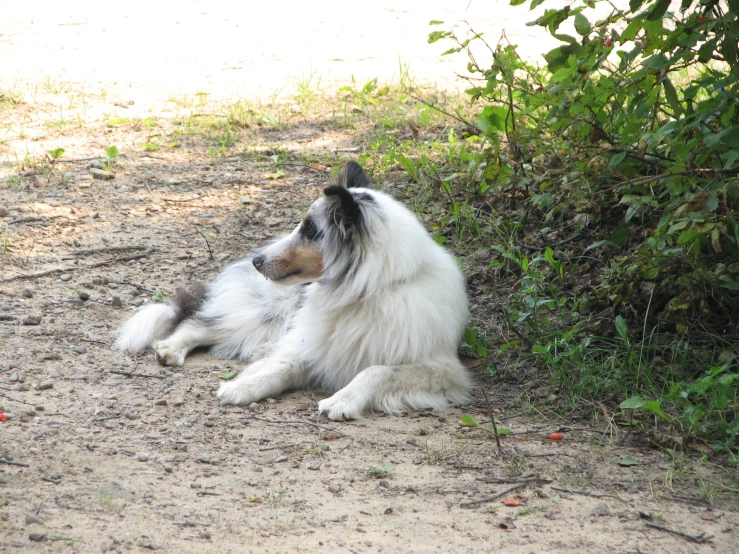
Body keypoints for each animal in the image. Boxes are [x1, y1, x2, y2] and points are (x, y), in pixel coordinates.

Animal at [115, 161, 474, 418]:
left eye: (310, 229)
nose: (258, 260)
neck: (370, 290)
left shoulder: (443, 371)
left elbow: (378, 370)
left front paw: (343, 400)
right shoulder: (310, 343)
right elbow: (283, 366)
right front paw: (244, 385)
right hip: (269, 312)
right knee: (201, 323)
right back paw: (171, 348)